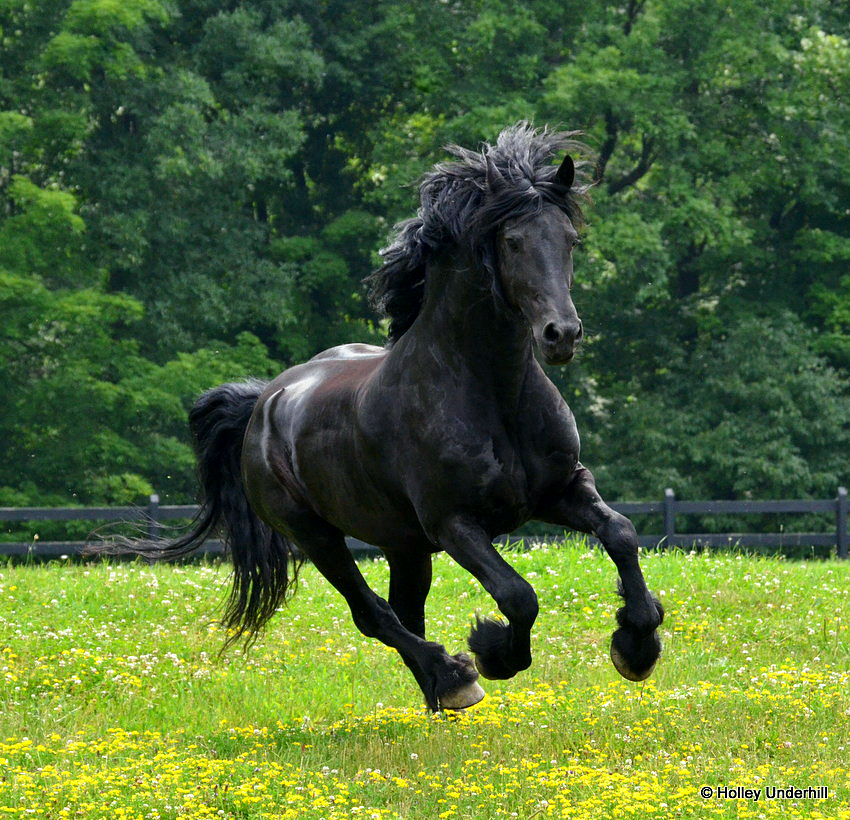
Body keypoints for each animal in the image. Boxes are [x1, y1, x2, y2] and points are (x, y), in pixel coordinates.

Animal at [99, 123, 664, 712]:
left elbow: (621, 533)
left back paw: (441, 692)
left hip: (404, 545)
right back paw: (454, 677)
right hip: (317, 536)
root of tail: (265, 402)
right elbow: (518, 595)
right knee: (373, 613)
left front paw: (637, 644)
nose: (562, 335)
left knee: (405, 612)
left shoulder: (561, 489)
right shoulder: (454, 522)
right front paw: (492, 651)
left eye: (569, 240)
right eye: (512, 242)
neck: (493, 394)